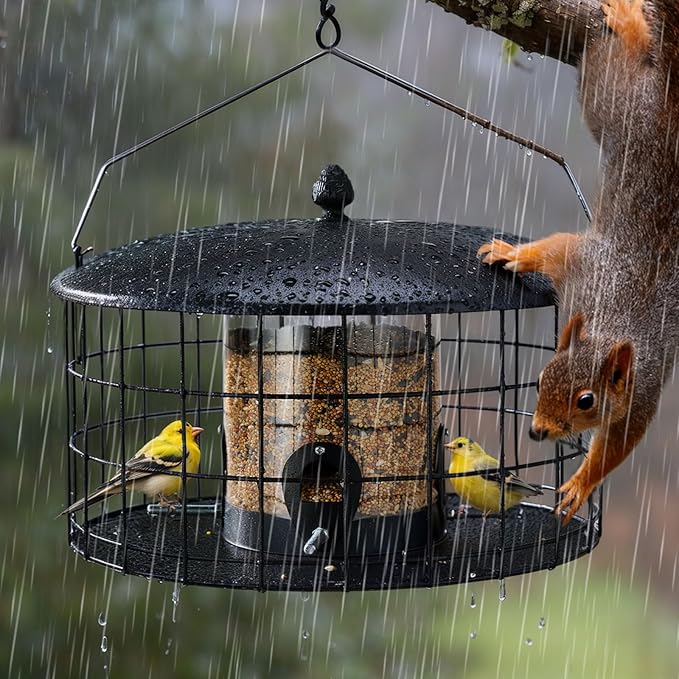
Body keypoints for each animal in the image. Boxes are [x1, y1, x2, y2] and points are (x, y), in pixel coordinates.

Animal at [477, 0, 679, 524]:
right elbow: (555, 249)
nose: (536, 432)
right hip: (618, 106)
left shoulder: (641, 392)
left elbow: (619, 445)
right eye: (541, 376)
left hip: (618, 100)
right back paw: (630, 19)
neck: (611, 321)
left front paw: (578, 486)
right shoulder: (585, 263)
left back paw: (630, 23)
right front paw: (510, 253)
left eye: (586, 401)